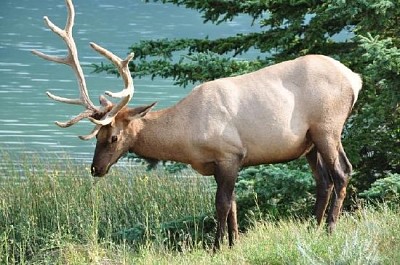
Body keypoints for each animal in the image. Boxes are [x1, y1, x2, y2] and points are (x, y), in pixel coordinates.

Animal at [32, 0, 360, 249]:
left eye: (112, 137)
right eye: (97, 134)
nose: (96, 169)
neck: (186, 139)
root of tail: (355, 79)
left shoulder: (230, 154)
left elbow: (222, 205)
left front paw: (216, 247)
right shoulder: (220, 164)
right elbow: (234, 205)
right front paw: (234, 243)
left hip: (327, 126)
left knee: (342, 172)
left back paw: (329, 229)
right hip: (309, 142)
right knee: (323, 180)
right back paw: (312, 228)